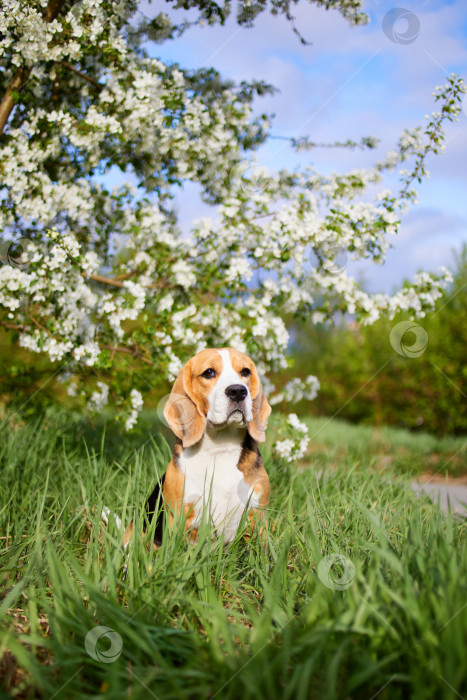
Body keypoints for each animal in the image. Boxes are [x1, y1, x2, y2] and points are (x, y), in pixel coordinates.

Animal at [124, 348, 272, 548]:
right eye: (208, 372)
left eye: (245, 372)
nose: (238, 391)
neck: (220, 448)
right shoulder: (179, 518)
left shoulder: (257, 515)